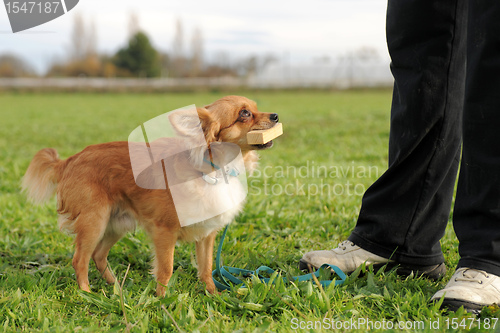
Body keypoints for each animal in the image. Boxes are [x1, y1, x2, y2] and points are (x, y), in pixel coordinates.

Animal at [21, 96, 280, 296]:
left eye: (256, 108)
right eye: (245, 114)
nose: (276, 115)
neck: (216, 170)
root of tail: (69, 161)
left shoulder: (206, 235)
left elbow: (206, 268)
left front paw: (213, 294)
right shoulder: (165, 232)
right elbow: (166, 269)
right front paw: (162, 300)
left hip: (117, 223)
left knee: (98, 255)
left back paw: (116, 286)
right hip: (95, 222)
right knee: (80, 259)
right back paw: (87, 293)